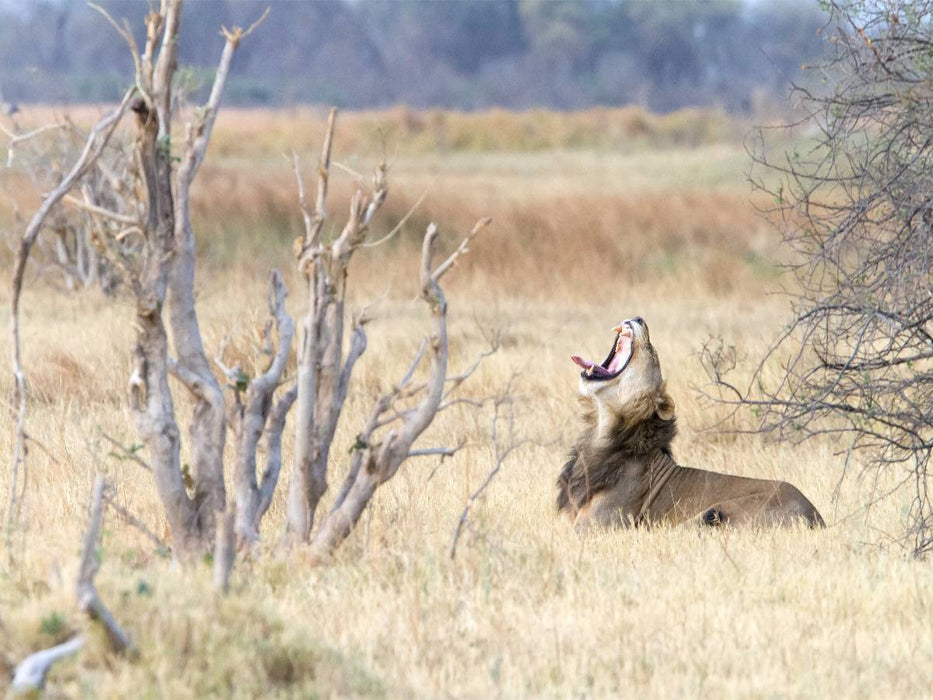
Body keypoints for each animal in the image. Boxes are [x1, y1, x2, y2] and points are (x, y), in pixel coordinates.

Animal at [557, 317, 824, 530]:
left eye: (653, 353)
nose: (638, 318)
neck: (602, 430)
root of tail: (816, 517)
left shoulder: (595, 527)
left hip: (714, 511)